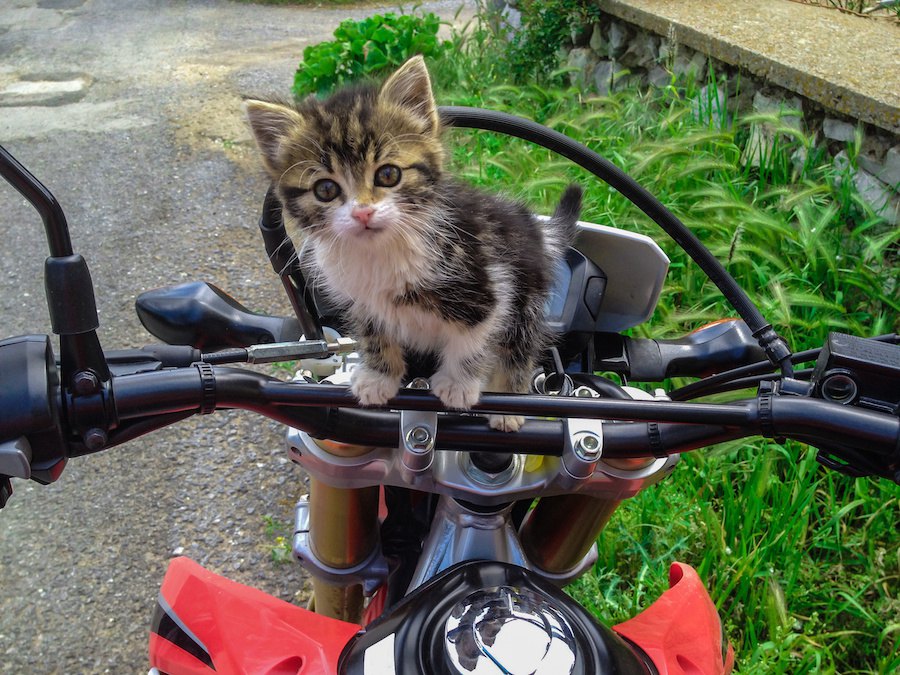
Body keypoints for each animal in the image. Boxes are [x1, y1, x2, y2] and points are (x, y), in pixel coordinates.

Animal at [246, 55, 580, 430]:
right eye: (326, 189)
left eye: (388, 174)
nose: (363, 212)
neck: (381, 250)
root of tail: (536, 229)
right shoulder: (364, 304)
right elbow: (375, 336)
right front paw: (379, 377)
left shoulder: (489, 284)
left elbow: (472, 339)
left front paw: (459, 384)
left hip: (526, 299)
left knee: (518, 349)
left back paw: (508, 403)